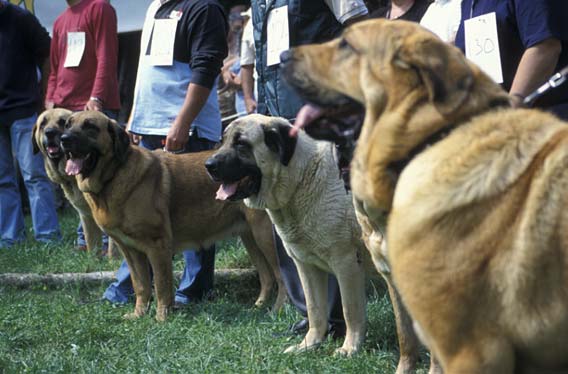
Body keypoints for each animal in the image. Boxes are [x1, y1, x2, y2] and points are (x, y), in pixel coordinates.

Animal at [60, 109, 286, 320]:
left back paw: (279, 311)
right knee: (267, 277)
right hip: (251, 237)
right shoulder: (130, 250)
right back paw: (259, 306)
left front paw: (162, 317)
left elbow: (161, 284)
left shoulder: (157, 245)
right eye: (68, 124)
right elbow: (140, 284)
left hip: (266, 236)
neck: (113, 176)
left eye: (90, 126)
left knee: (282, 276)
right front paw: (139, 314)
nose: (64, 139)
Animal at [205, 114, 372, 356]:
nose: (208, 165)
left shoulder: (346, 262)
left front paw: (349, 348)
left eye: (241, 144)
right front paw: (309, 344)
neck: (300, 180)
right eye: (223, 141)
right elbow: (314, 309)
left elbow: (350, 309)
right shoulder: (306, 265)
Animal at [282, 18, 568, 374]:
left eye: (346, 45)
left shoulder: (469, 346)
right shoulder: (395, 283)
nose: (281, 56)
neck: (425, 143)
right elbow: (406, 340)